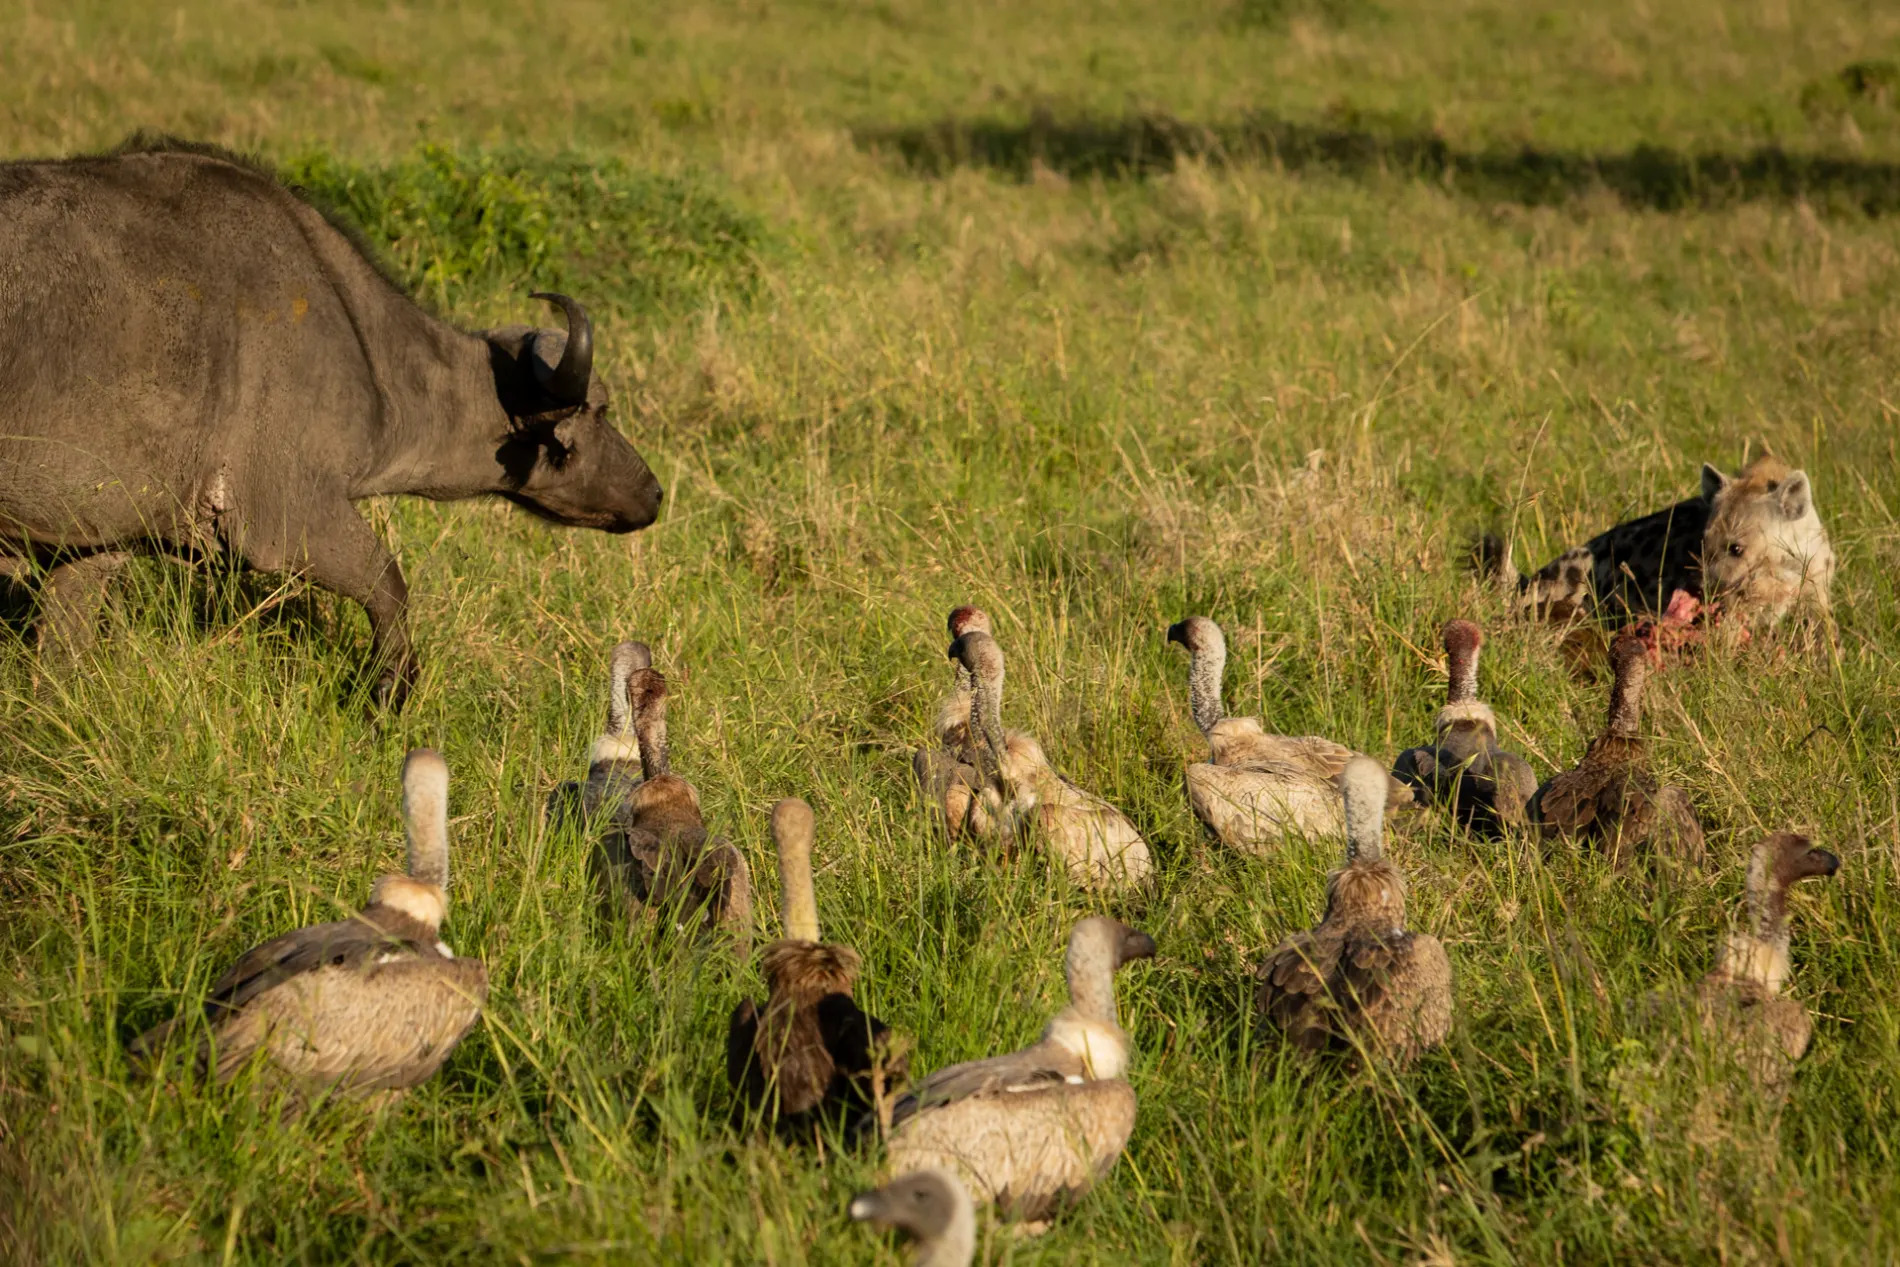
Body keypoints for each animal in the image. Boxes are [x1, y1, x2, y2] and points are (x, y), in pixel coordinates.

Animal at [0, 146, 665, 714]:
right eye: (600, 410)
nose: (655, 494)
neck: (364, 352)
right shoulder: (289, 519)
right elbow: (389, 584)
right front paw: (390, 694)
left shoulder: (91, 542)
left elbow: (59, 656)